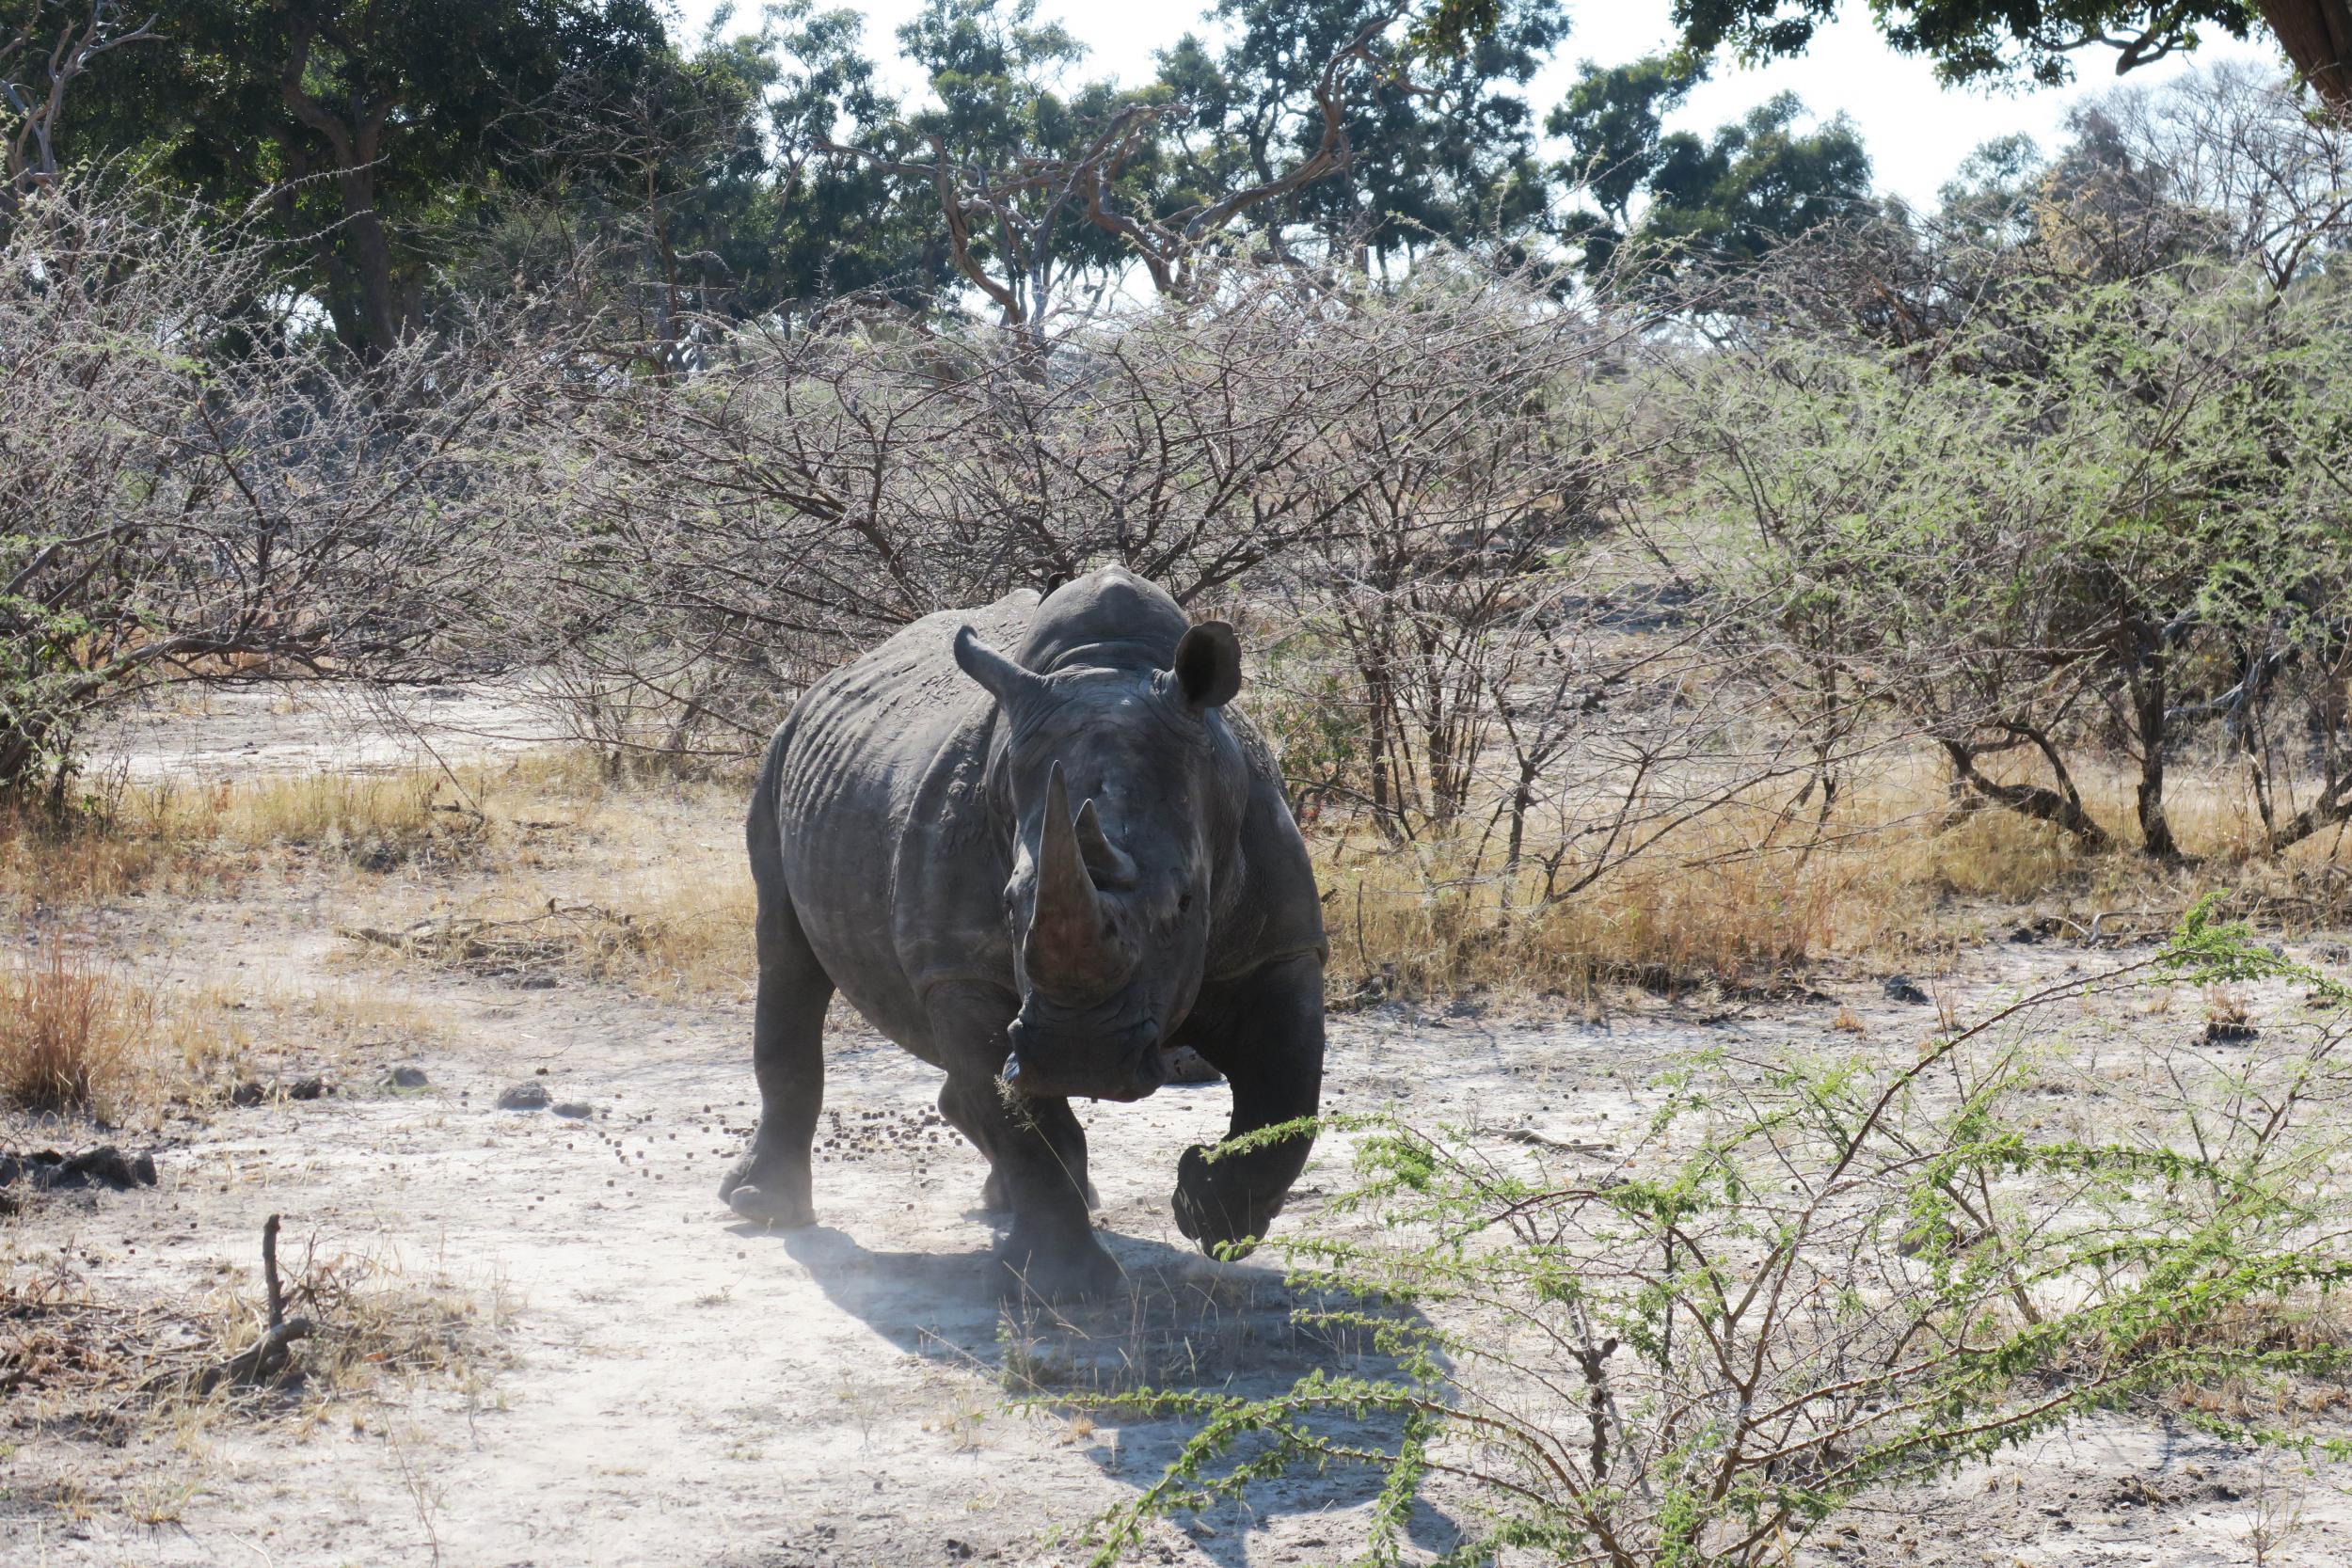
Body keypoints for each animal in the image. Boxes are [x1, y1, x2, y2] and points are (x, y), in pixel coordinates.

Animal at [720, 566, 1327, 1297]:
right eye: (1011, 907)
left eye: (1186, 903)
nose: (1080, 1058)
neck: (1109, 667)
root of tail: (823, 684)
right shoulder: (959, 970)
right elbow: (1026, 1127)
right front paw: (1068, 1290)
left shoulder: (1279, 944)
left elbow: (1289, 1093)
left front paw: (1209, 1215)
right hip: (778, 758)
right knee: (786, 959)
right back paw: (761, 1208)